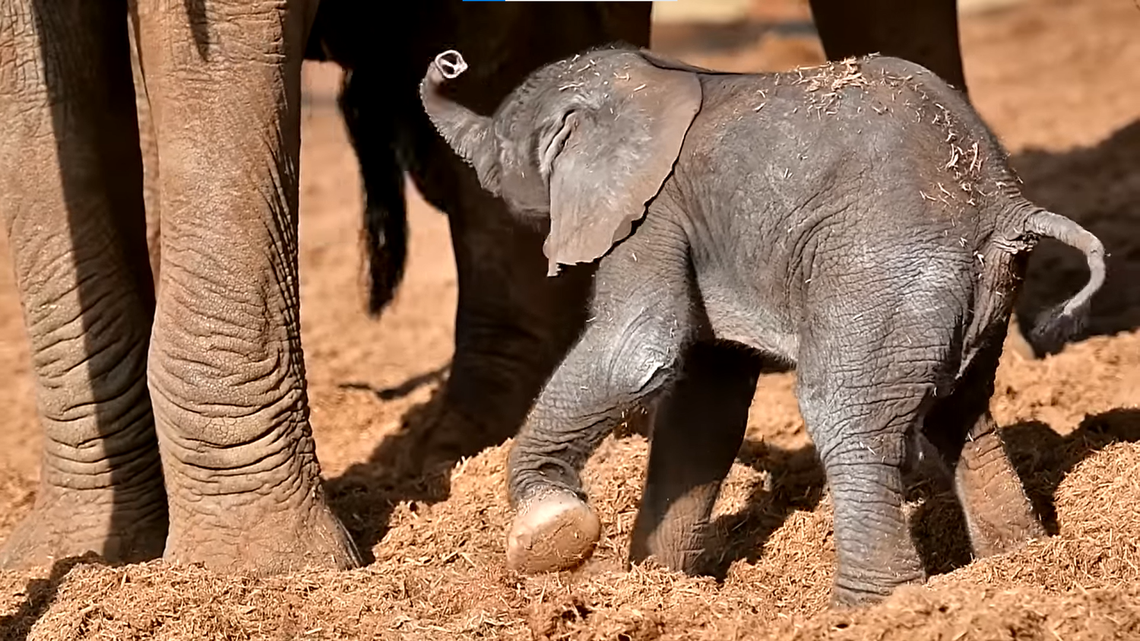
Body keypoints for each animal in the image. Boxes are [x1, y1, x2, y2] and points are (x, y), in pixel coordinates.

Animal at [418, 48, 1106, 606]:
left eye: (498, 146)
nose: (449, 61)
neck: (655, 78)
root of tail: (1007, 205)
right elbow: (702, 409)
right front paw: (659, 585)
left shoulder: (654, 213)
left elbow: (637, 350)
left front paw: (552, 533)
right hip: (978, 288)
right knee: (963, 415)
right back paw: (1014, 567)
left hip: (882, 268)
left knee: (849, 416)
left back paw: (869, 610)